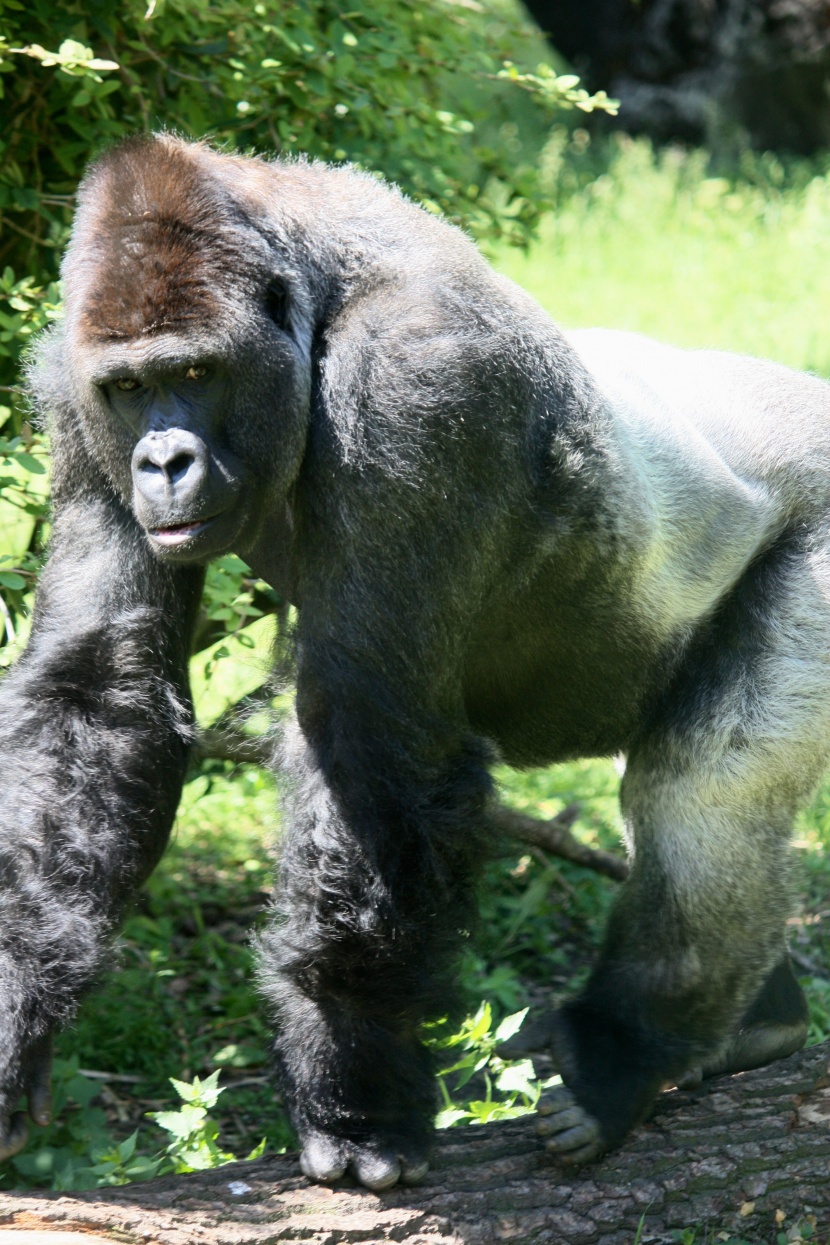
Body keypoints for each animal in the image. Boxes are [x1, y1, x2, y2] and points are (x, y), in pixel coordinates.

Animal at [0, 131, 816, 1190]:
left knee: (705, 788)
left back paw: (625, 1055)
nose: (163, 462)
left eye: (198, 371)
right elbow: (103, 683)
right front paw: (15, 1013)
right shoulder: (68, 386)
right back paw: (764, 1021)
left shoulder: (414, 383)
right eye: (130, 389)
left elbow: (370, 734)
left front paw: (356, 1085)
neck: (308, 291)